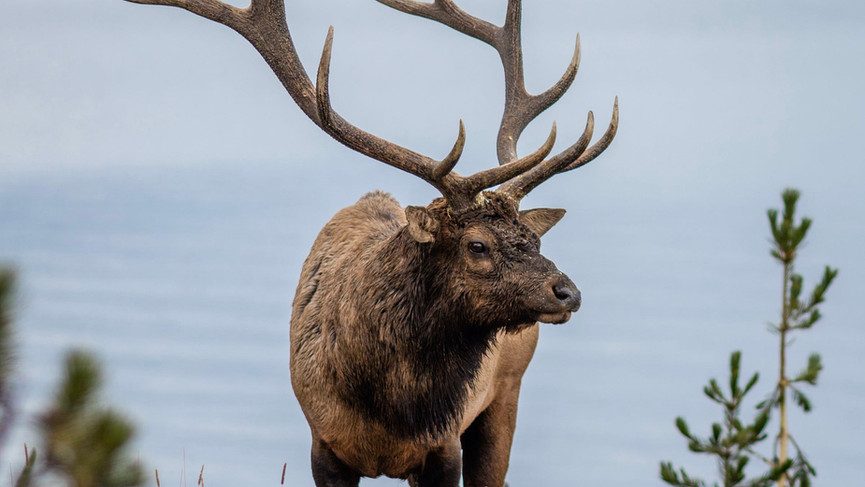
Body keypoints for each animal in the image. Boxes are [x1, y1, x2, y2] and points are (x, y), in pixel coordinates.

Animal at [124, 0, 618, 485]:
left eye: (533, 239)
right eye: (477, 245)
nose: (567, 292)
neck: (386, 408)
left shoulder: (443, 446)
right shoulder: (323, 443)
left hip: (504, 396)